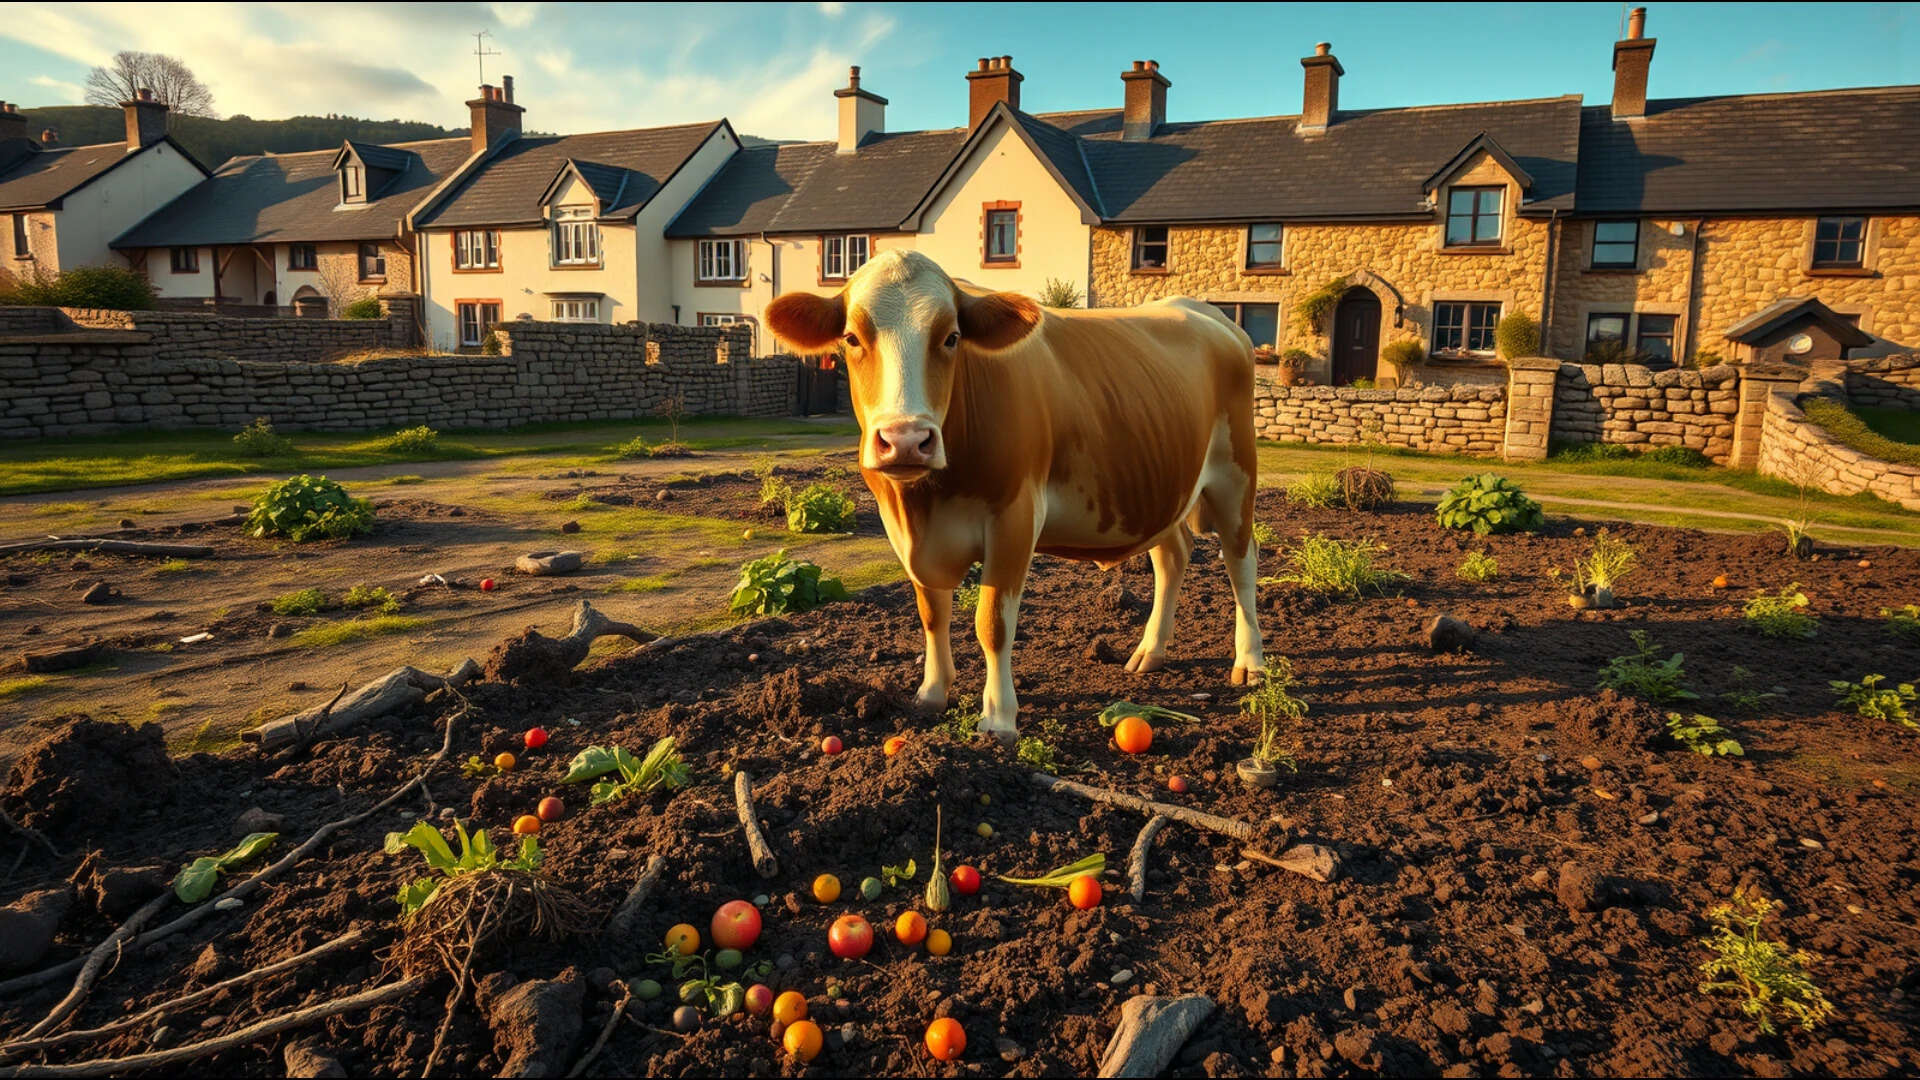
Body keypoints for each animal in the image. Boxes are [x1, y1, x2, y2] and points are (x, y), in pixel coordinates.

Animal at [765, 250, 1263, 744]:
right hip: (1163, 488)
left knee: (1241, 563)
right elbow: (932, 613)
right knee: (1173, 556)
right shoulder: (903, 533)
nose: (906, 440)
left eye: (952, 337)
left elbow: (993, 623)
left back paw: (1251, 662)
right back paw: (1151, 651)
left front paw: (999, 718)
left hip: (1236, 474)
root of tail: (1210, 313)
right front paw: (932, 693)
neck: (926, 503)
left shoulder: (1015, 517)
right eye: (851, 337)